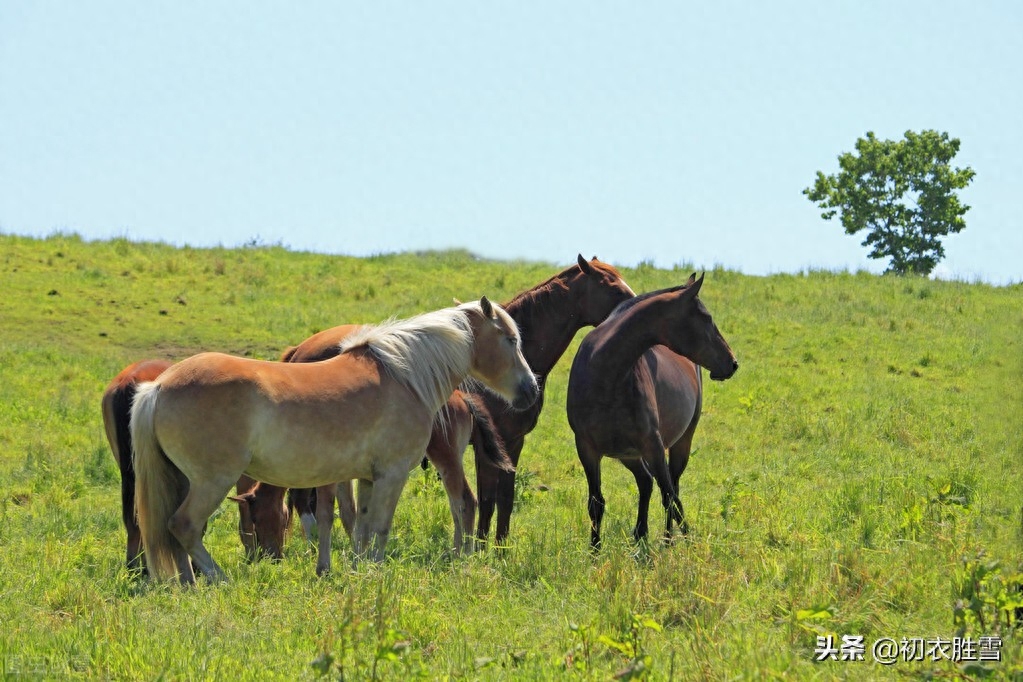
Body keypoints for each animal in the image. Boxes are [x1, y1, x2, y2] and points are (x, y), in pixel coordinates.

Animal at [131, 300, 540, 584]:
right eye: (510, 339)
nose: (530, 390)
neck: (404, 376)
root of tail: (158, 387)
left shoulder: (367, 477)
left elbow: (360, 524)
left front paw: (358, 570)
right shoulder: (392, 474)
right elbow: (379, 526)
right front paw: (375, 571)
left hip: (182, 480)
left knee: (172, 530)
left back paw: (188, 584)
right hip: (213, 480)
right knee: (184, 525)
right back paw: (219, 580)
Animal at [472, 253, 634, 548]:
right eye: (614, 289)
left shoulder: (513, 442)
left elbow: (504, 500)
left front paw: (501, 550)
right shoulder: (486, 445)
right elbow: (487, 501)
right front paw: (478, 550)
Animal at [568, 274, 736, 552]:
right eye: (706, 317)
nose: (732, 363)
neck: (605, 374)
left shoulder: (653, 445)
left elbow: (670, 497)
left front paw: (688, 542)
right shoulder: (587, 449)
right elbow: (596, 503)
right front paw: (594, 551)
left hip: (678, 444)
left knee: (671, 486)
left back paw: (666, 540)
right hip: (628, 454)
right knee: (646, 482)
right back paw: (641, 536)